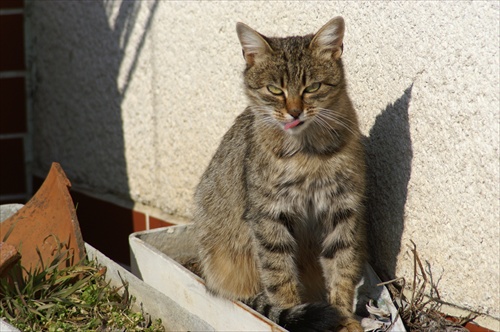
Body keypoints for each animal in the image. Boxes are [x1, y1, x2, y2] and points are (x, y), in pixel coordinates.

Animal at [193, 16, 366, 332]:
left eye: (313, 87)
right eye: (274, 90)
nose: (295, 112)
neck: (308, 154)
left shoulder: (342, 209)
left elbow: (342, 269)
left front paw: (344, 318)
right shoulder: (268, 214)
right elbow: (279, 274)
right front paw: (290, 313)